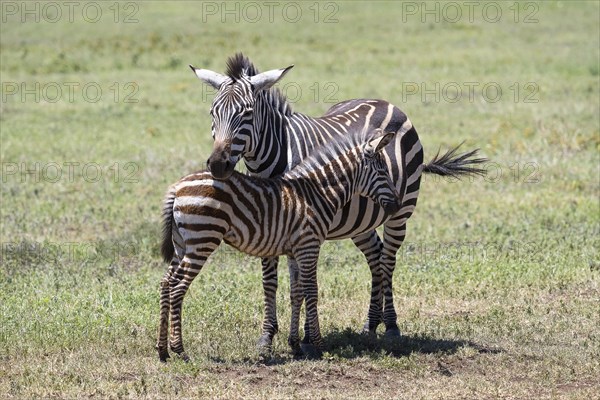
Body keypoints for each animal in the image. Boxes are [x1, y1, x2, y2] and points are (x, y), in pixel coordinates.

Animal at [190, 53, 486, 350]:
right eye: (213, 113)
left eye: (247, 114)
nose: (217, 165)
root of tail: (384, 102)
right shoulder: (270, 224)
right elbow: (270, 281)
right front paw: (268, 335)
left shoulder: (303, 227)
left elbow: (302, 284)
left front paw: (306, 338)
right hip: (362, 221)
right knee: (376, 257)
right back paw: (371, 324)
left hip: (400, 212)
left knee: (389, 260)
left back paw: (391, 325)